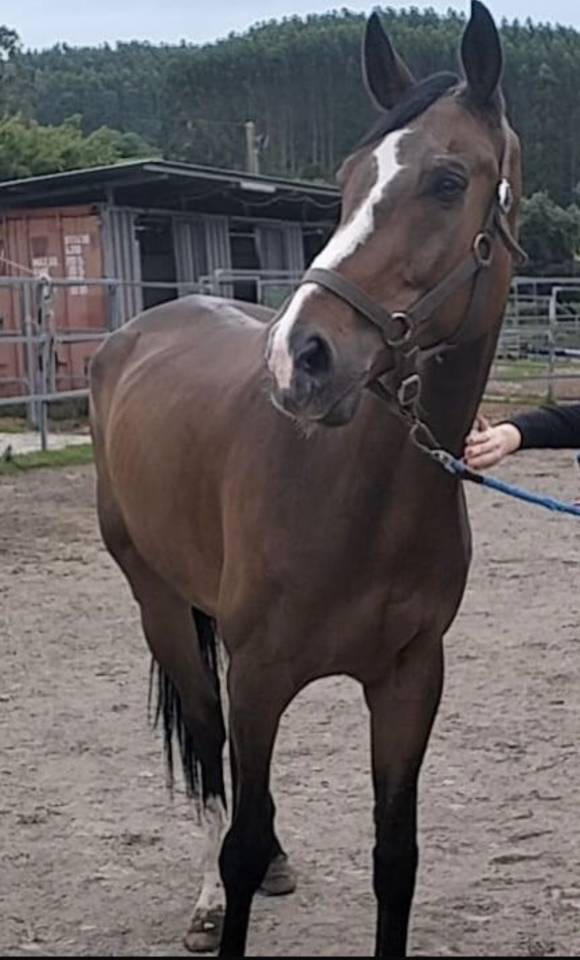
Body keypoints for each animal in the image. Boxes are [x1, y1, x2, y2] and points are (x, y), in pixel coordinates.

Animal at [89, 2, 524, 955]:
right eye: (348, 179)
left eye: (448, 180)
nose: (302, 359)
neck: (355, 500)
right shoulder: (259, 679)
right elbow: (239, 846)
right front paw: (229, 895)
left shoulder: (409, 681)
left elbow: (395, 857)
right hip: (158, 605)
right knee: (208, 751)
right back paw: (206, 902)